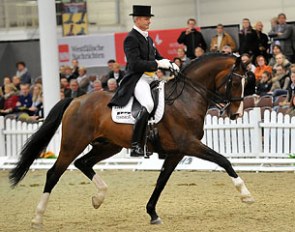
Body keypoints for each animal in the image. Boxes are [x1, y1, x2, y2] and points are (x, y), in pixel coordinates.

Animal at [8, 53, 254, 228]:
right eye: (235, 82)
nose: (237, 114)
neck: (186, 99)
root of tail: (76, 100)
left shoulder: (177, 152)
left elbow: (161, 181)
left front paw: (152, 213)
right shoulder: (189, 145)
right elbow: (223, 160)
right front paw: (246, 195)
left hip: (108, 146)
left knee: (83, 163)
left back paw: (99, 197)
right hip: (73, 144)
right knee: (54, 173)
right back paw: (37, 218)